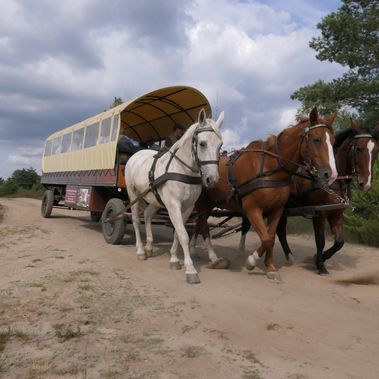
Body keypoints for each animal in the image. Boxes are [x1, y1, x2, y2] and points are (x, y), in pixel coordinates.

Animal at [126, 108, 224, 284]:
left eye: (220, 145)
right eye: (202, 143)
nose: (212, 179)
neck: (182, 169)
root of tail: (137, 154)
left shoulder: (187, 207)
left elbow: (178, 233)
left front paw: (174, 259)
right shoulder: (173, 205)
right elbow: (183, 234)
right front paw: (190, 270)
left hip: (154, 199)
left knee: (147, 215)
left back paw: (149, 246)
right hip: (133, 194)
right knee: (136, 220)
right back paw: (141, 251)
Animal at [191, 106, 336, 280]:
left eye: (333, 141)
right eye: (316, 139)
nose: (330, 174)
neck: (269, 168)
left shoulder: (277, 210)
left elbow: (271, 237)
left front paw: (270, 267)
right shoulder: (252, 209)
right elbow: (266, 239)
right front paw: (251, 261)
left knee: (199, 224)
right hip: (202, 204)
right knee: (201, 225)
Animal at [276, 120, 379, 274]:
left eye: (376, 151)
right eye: (359, 149)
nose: (365, 183)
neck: (334, 181)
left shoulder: (336, 213)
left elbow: (339, 242)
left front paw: (320, 258)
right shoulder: (319, 213)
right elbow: (320, 240)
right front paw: (320, 265)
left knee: (280, 231)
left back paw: (289, 256)